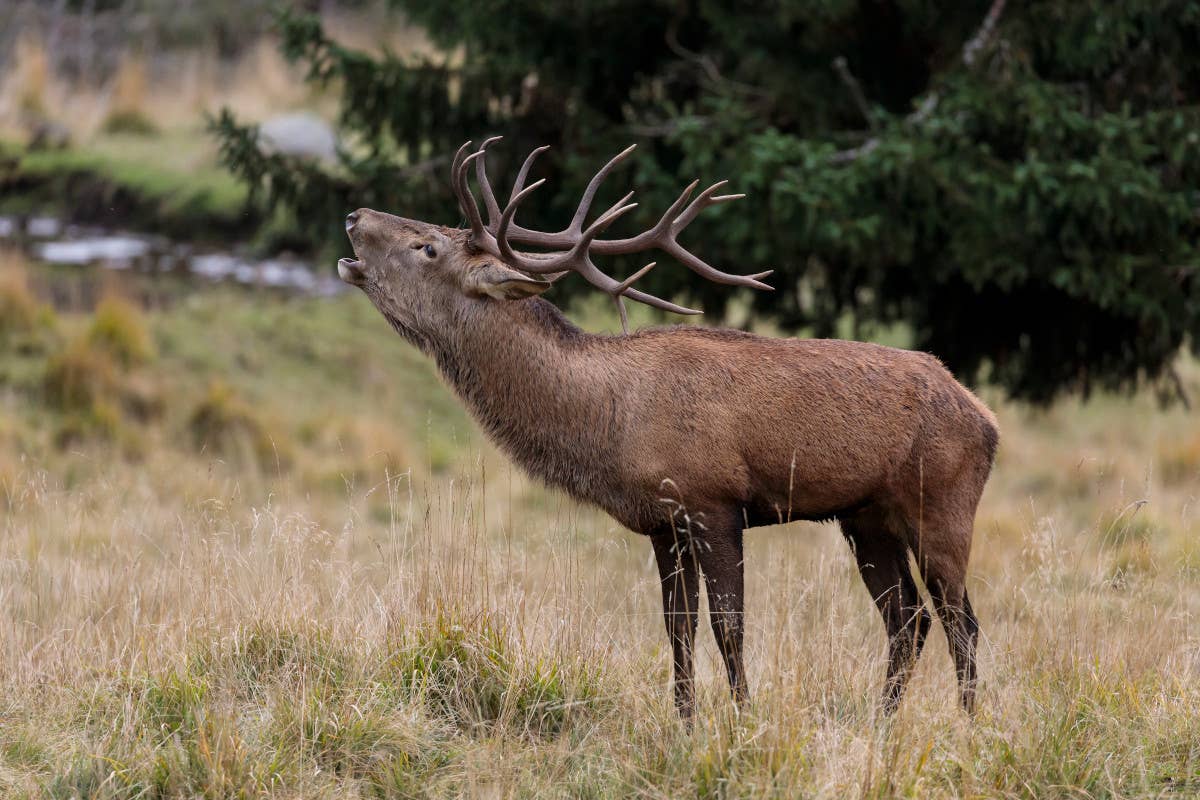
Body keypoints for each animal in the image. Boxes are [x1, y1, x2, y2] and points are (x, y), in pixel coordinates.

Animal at [336, 139, 993, 724]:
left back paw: (968, 727)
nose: (354, 216)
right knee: (909, 619)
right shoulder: (662, 523)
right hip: (866, 518)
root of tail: (985, 419)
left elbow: (729, 628)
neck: (609, 423)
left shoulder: (715, 502)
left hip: (943, 500)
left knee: (960, 620)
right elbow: (679, 630)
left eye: (426, 246)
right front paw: (685, 724)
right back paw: (883, 726)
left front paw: (742, 722)